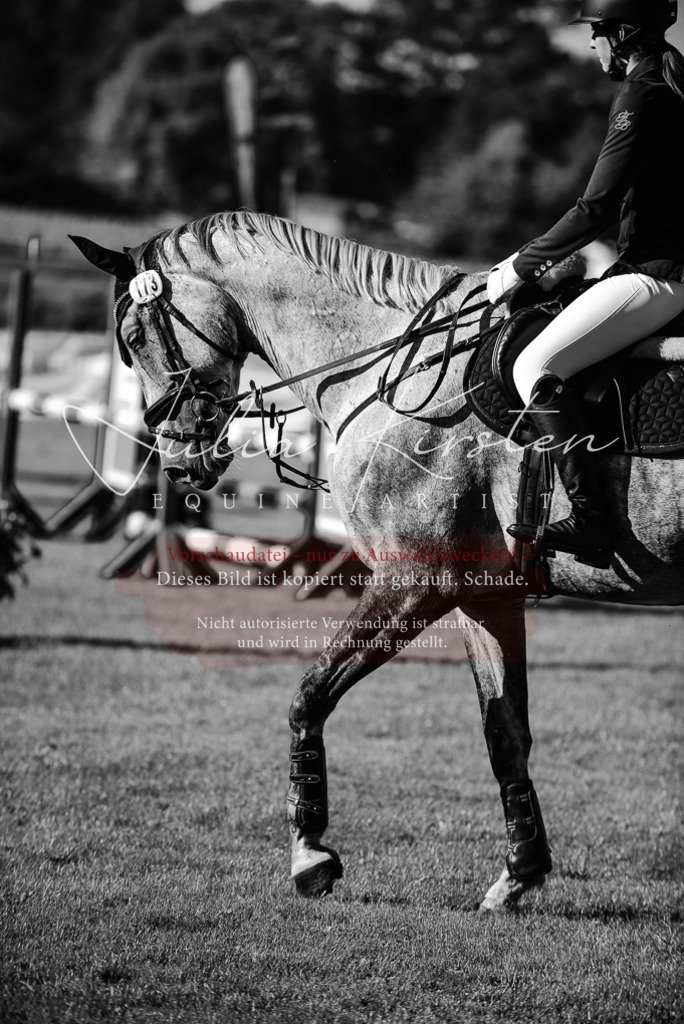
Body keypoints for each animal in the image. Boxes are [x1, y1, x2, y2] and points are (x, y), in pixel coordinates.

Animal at [71, 211, 684, 912]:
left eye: (136, 337)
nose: (175, 464)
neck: (393, 368)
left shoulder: (413, 583)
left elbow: (310, 696)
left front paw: (309, 853)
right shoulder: (486, 596)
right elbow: (505, 733)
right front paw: (518, 873)